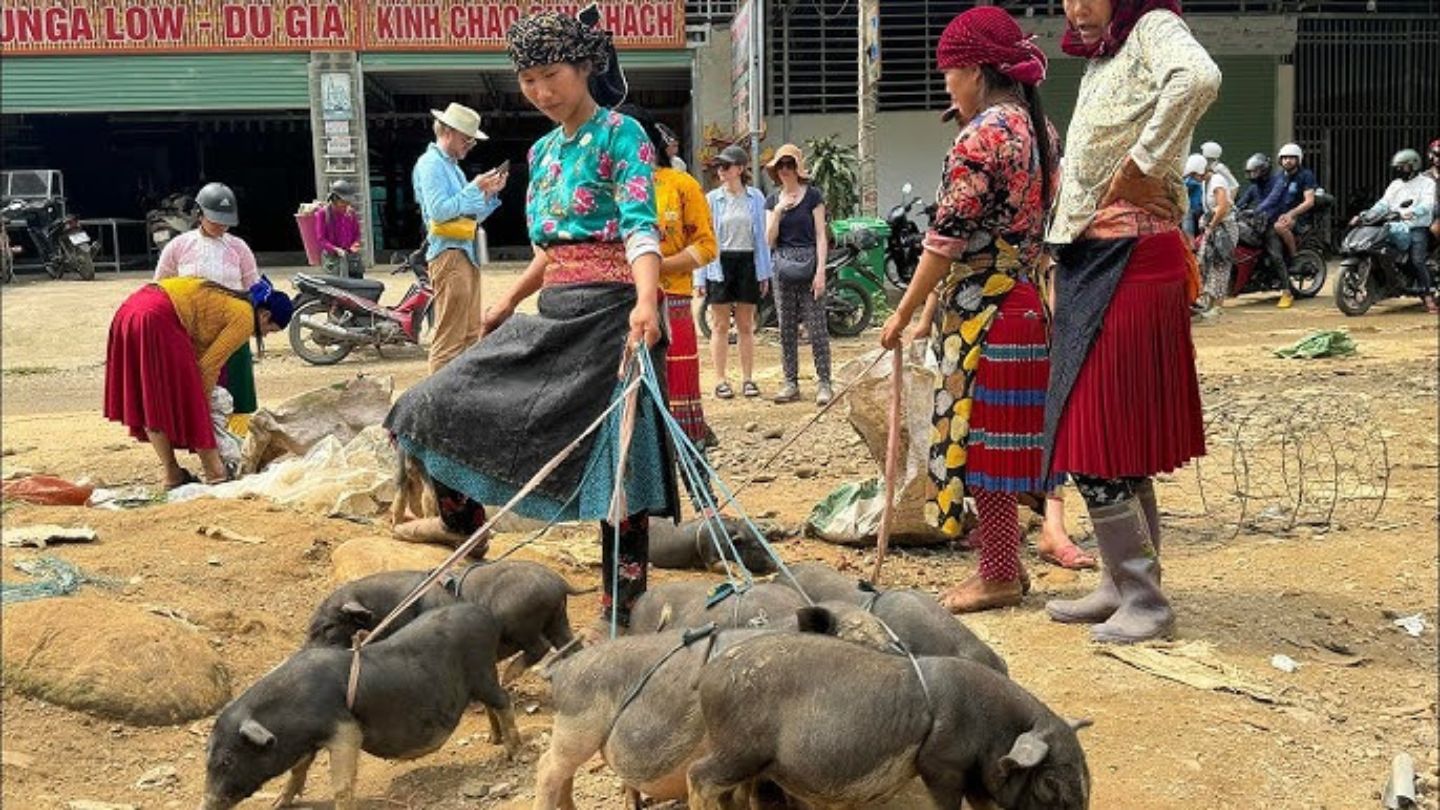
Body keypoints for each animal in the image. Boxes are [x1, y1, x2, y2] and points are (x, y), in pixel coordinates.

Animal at [203, 599, 518, 807]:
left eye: (227, 760)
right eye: (208, 758)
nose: (206, 804)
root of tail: (485, 614)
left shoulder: (344, 729)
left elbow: (341, 785)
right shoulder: (308, 741)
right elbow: (297, 770)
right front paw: (278, 803)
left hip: (482, 671)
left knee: (504, 700)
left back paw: (512, 753)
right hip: (479, 679)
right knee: (492, 705)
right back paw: (494, 740)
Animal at [691, 631, 1082, 807]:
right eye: (1051, 785)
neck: (993, 729)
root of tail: (708, 673)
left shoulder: (975, 780)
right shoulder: (941, 765)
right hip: (739, 749)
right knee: (699, 776)